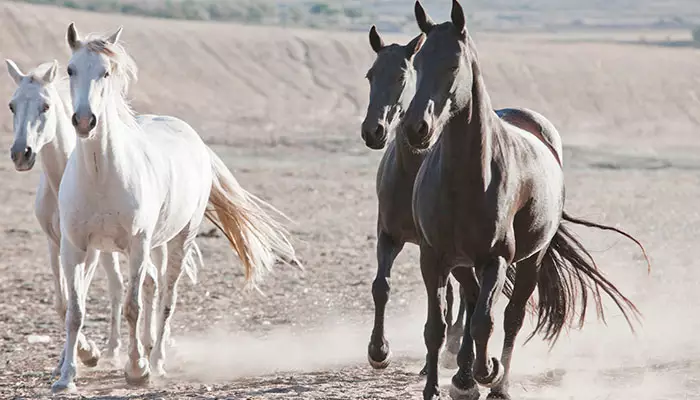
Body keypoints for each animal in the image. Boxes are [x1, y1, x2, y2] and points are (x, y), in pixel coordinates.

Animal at [4, 60, 197, 378]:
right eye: (12, 105)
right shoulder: (56, 244)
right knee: (140, 284)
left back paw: (153, 351)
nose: (22, 154)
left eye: (45, 106)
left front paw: (85, 353)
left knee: (157, 285)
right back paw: (132, 348)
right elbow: (63, 303)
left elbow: (79, 297)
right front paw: (70, 360)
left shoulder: (90, 250)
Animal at [51, 22, 298, 394]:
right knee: (153, 287)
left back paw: (156, 361)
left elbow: (133, 307)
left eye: (106, 72)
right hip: (156, 244)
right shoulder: (75, 247)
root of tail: (192, 137)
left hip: (180, 238)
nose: (84, 121)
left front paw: (137, 370)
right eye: (70, 69)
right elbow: (75, 311)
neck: (100, 174)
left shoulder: (136, 243)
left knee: (167, 295)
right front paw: (66, 377)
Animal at [402, 1, 652, 398]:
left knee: (511, 316)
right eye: (419, 63)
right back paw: (464, 379)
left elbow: (486, 321)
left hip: (531, 258)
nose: (416, 128)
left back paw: (497, 382)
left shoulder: (496, 259)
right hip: (464, 263)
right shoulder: (434, 258)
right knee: (473, 303)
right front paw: (437, 387)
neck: (465, 178)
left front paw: (488, 371)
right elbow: (436, 327)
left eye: (454, 65)